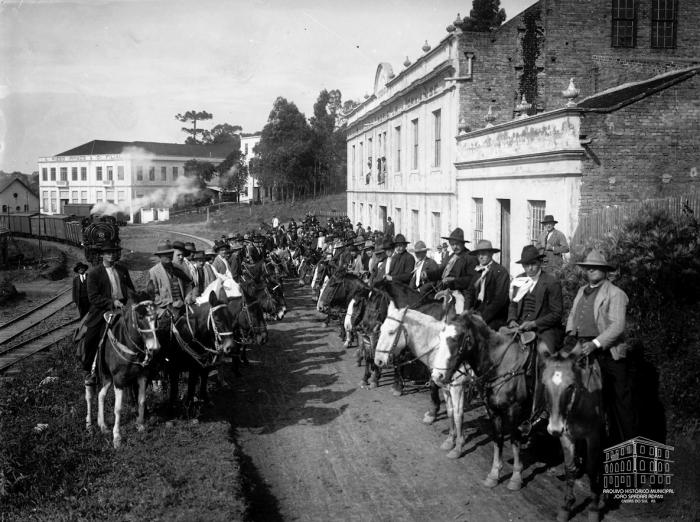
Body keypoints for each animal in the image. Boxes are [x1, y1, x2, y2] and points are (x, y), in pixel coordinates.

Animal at [88, 294, 159, 444]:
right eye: (140, 317)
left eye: (156, 317)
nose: (154, 347)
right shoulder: (119, 380)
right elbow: (118, 408)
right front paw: (117, 437)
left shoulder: (142, 375)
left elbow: (141, 400)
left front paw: (140, 425)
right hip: (105, 376)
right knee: (96, 395)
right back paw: (96, 425)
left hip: (109, 378)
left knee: (101, 395)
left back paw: (101, 424)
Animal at [372, 300, 470, 456]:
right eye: (381, 330)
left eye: (391, 332)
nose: (378, 361)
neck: (440, 348)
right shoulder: (446, 388)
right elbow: (450, 412)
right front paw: (450, 441)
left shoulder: (457, 388)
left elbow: (457, 414)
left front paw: (458, 448)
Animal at [432, 310, 540, 490]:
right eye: (440, 336)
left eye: (454, 338)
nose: (437, 375)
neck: (500, 365)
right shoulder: (493, 410)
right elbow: (498, 439)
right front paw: (494, 474)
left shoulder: (514, 410)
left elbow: (514, 440)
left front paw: (516, 477)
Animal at [540, 342, 608, 520]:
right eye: (544, 384)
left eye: (570, 386)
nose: (554, 428)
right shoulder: (566, 436)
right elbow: (570, 468)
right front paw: (567, 506)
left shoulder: (593, 437)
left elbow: (592, 469)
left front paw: (594, 508)